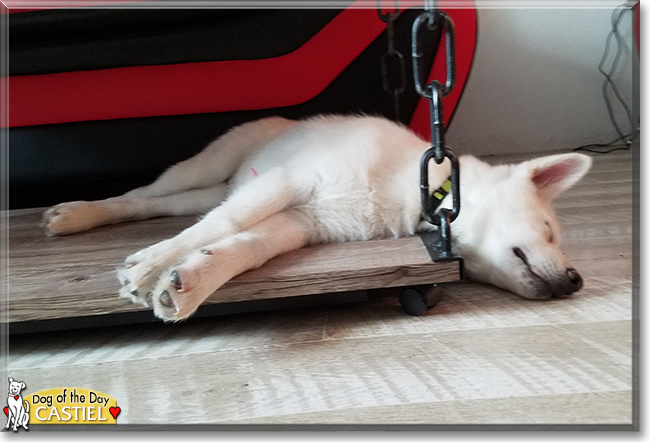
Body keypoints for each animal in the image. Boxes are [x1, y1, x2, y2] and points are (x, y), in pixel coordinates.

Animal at [43, 114, 588, 322]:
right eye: (550, 231)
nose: (575, 281)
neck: (416, 189)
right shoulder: (290, 182)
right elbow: (223, 228)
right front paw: (154, 265)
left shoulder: (303, 222)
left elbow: (244, 246)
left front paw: (192, 279)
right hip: (211, 165)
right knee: (141, 196)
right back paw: (78, 214)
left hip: (217, 189)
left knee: (174, 206)